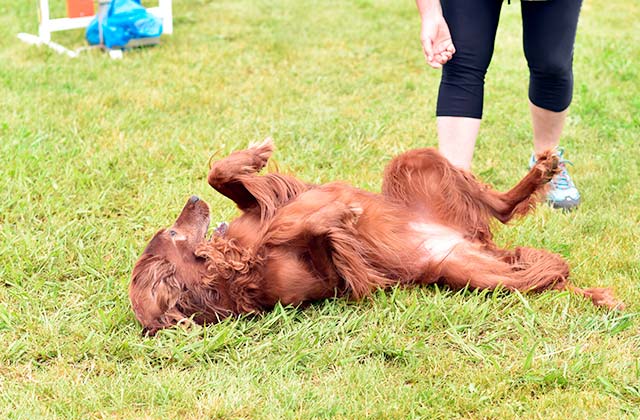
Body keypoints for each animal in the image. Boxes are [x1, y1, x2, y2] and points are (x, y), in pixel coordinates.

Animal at [127, 140, 624, 334]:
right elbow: (300, 230)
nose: (192, 201)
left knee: (503, 209)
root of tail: (469, 238)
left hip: (413, 162)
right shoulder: (324, 273)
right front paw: (338, 211)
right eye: (173, 231)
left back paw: (543, 170)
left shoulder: (263, 204)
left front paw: (255, 156)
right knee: (546, 274)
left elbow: (227, 178)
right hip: (480, 275)